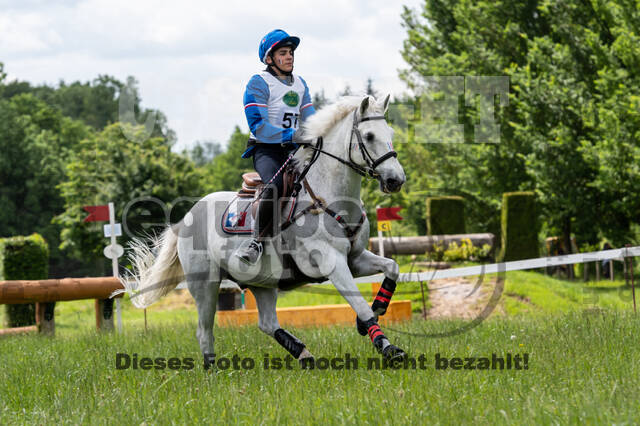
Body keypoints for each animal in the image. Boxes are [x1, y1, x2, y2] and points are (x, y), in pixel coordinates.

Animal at [115, 94, 407, 369]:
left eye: (391, 134)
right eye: (369, 136)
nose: (396, 180)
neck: (329, 197)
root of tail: (186, 217)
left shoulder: (354, 258)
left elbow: (391, 268)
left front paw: (377, 310)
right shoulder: (332, 262)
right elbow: (359, 304)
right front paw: (390, 349)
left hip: (262, 282)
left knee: (267, 323)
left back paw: (304, 355)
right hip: (204, 284)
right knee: (204, 330)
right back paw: (213, 371)